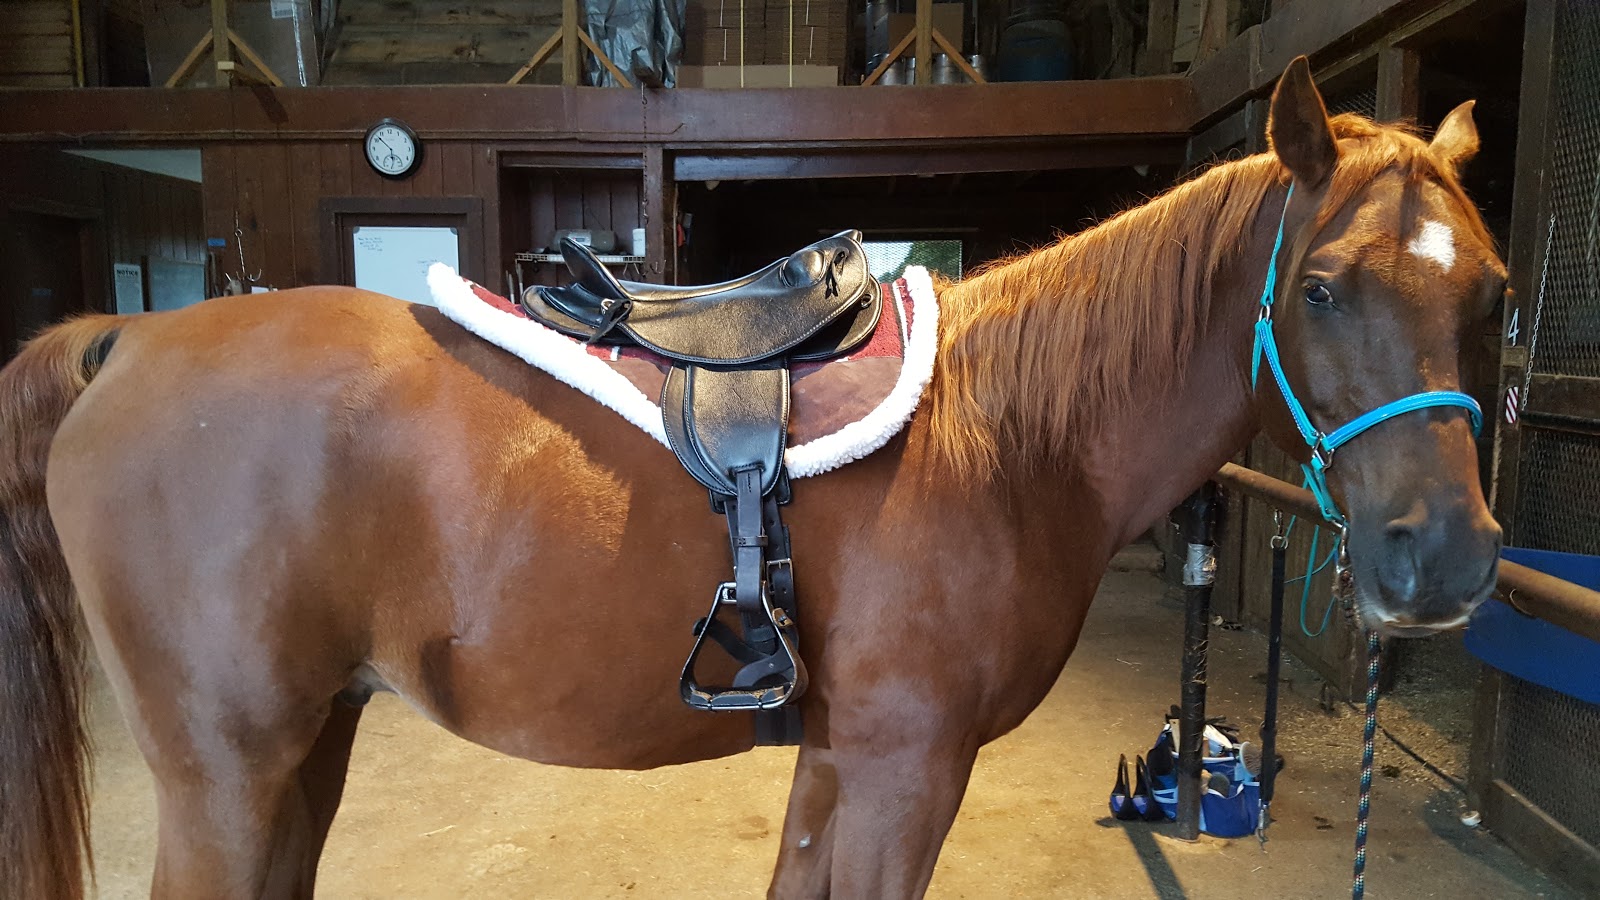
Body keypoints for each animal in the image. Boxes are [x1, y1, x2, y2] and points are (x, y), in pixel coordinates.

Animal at [0, 57, 1505, 899]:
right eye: (1322, 286)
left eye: (1487, 291)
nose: (1448, 559)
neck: (1007, 436)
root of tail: (128, 340)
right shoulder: (907, 772)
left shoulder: (838, 762)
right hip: (229, 774)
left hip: (302, 751)